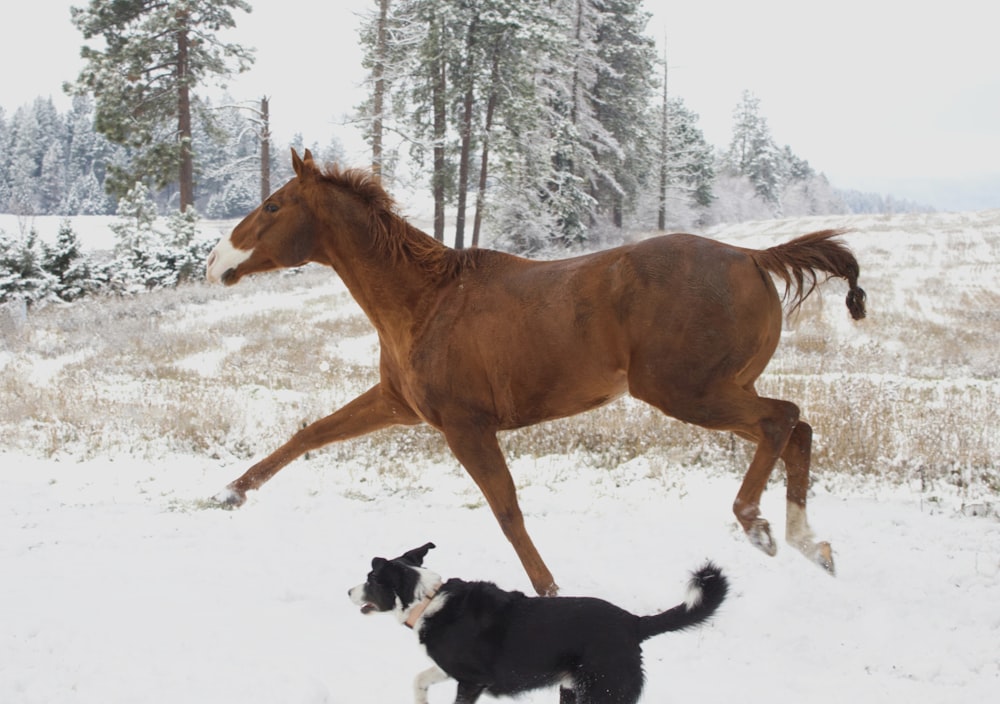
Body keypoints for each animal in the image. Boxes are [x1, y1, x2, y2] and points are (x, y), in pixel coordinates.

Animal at [205, 148, 868, 592]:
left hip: (690, 393)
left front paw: (548, 592)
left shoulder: (465, 425)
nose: (213, 263)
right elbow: (310, 434)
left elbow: (506, 509)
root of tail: (755, 257)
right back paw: (813, 545)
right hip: (719, 390)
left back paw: (760, 528)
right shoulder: (399, 405)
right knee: (796, 429)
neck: (426, 302)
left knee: (784, 419)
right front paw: (227, 493)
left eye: (272, 205)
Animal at [350, 544, 728, 704]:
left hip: (602, 692)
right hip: (573, 689)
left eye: (369, 579)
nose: (348, 591)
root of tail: (633, 623)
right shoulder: (451, 669)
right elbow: (420, 679)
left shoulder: (473, 680)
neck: (427, 599)